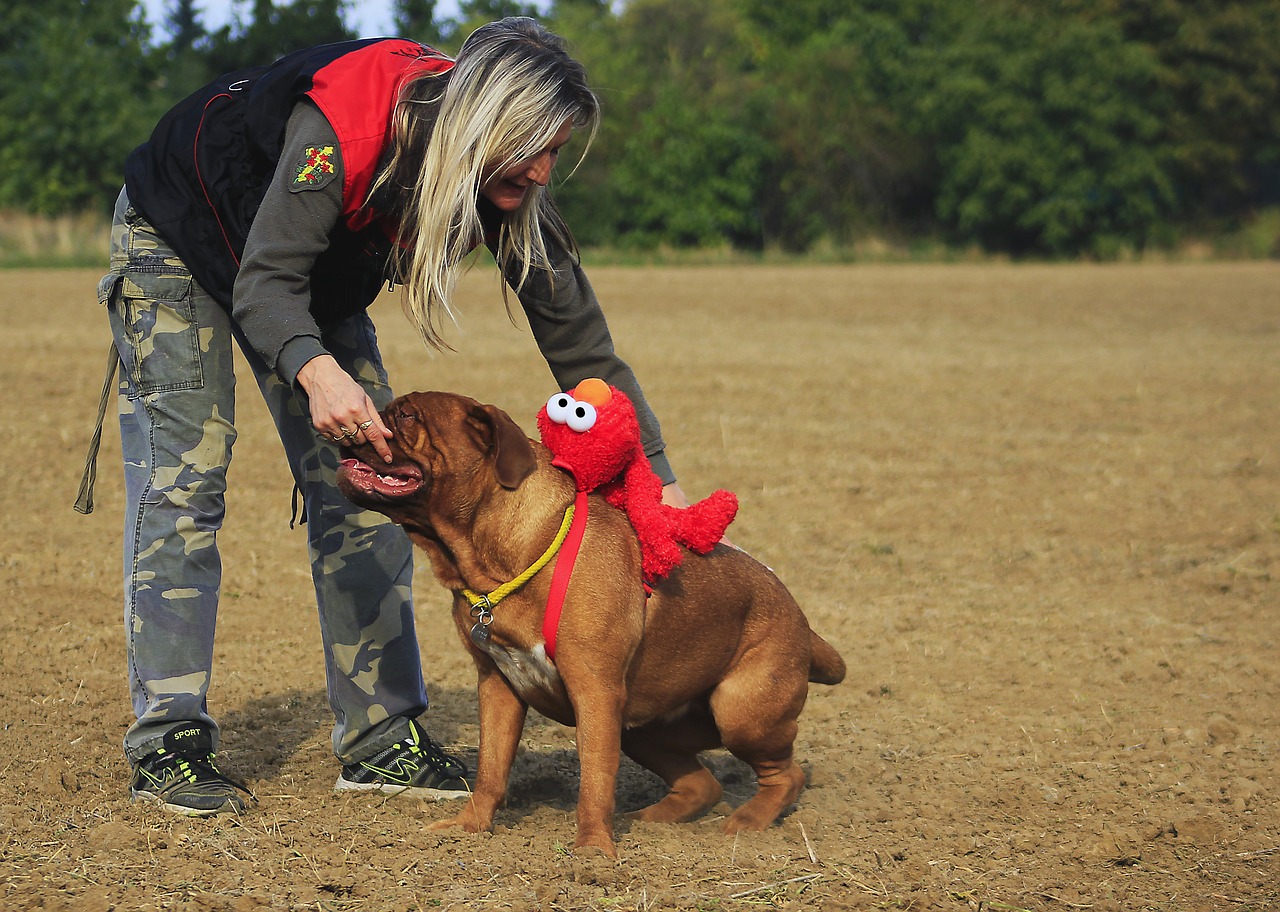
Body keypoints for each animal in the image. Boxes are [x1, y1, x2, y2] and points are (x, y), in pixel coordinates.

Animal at [335, 389, 844, 855]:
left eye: (406, 415)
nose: (358, 424)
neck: (494, 555)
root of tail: (802, 620)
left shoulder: (594, 691)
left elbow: (594, 781)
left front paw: (594, 853)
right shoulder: (498, 686)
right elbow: (491, 769)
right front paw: (468, 828)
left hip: (740, 712)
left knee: (787, 775)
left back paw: (747, 823)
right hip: (642, 727)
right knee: (703, 783)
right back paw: (651, 819)